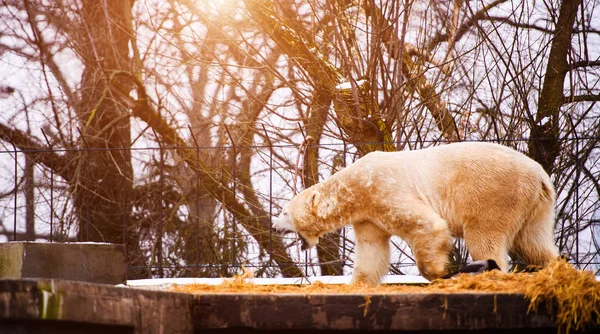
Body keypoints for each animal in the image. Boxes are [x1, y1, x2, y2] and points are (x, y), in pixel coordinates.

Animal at [274, 142, 560, 286]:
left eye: (284, 211)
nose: (275, 226)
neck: (354, 187)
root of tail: (540, 176)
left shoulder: (384, 189)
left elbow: (427, 225)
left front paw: (438, 271)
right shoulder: (368, 215)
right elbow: (371, 250)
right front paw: (358, 284)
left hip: (495, 195)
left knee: (486, 236)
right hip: (536, 207)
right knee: (534, 242)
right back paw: (553, 267)